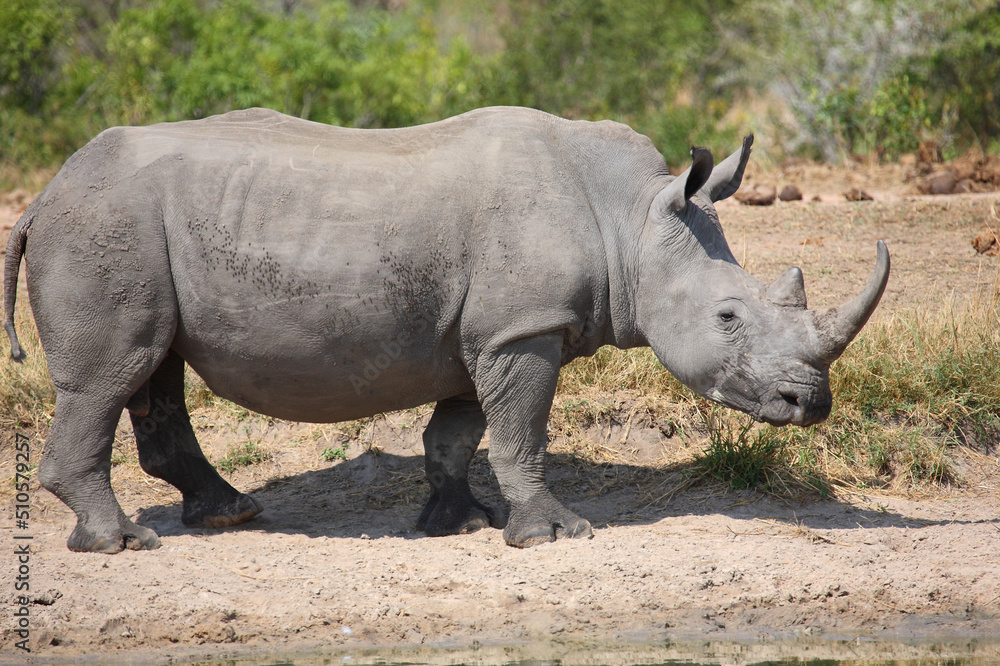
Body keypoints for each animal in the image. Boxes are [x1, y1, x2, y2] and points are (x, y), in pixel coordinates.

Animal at [4, 107, 889, 553]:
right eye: (728, 318)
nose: (809, 404)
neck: (631, 219)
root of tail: (44, 194)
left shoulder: (490, 332)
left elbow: (459, 434)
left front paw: (461, 523)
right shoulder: (523, 329)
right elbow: (521, 432)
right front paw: (553, 536)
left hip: (130, 230)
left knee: (155, 368)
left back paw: (228, 516)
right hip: (103, 224)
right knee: (112, 374)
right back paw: (121, 543)